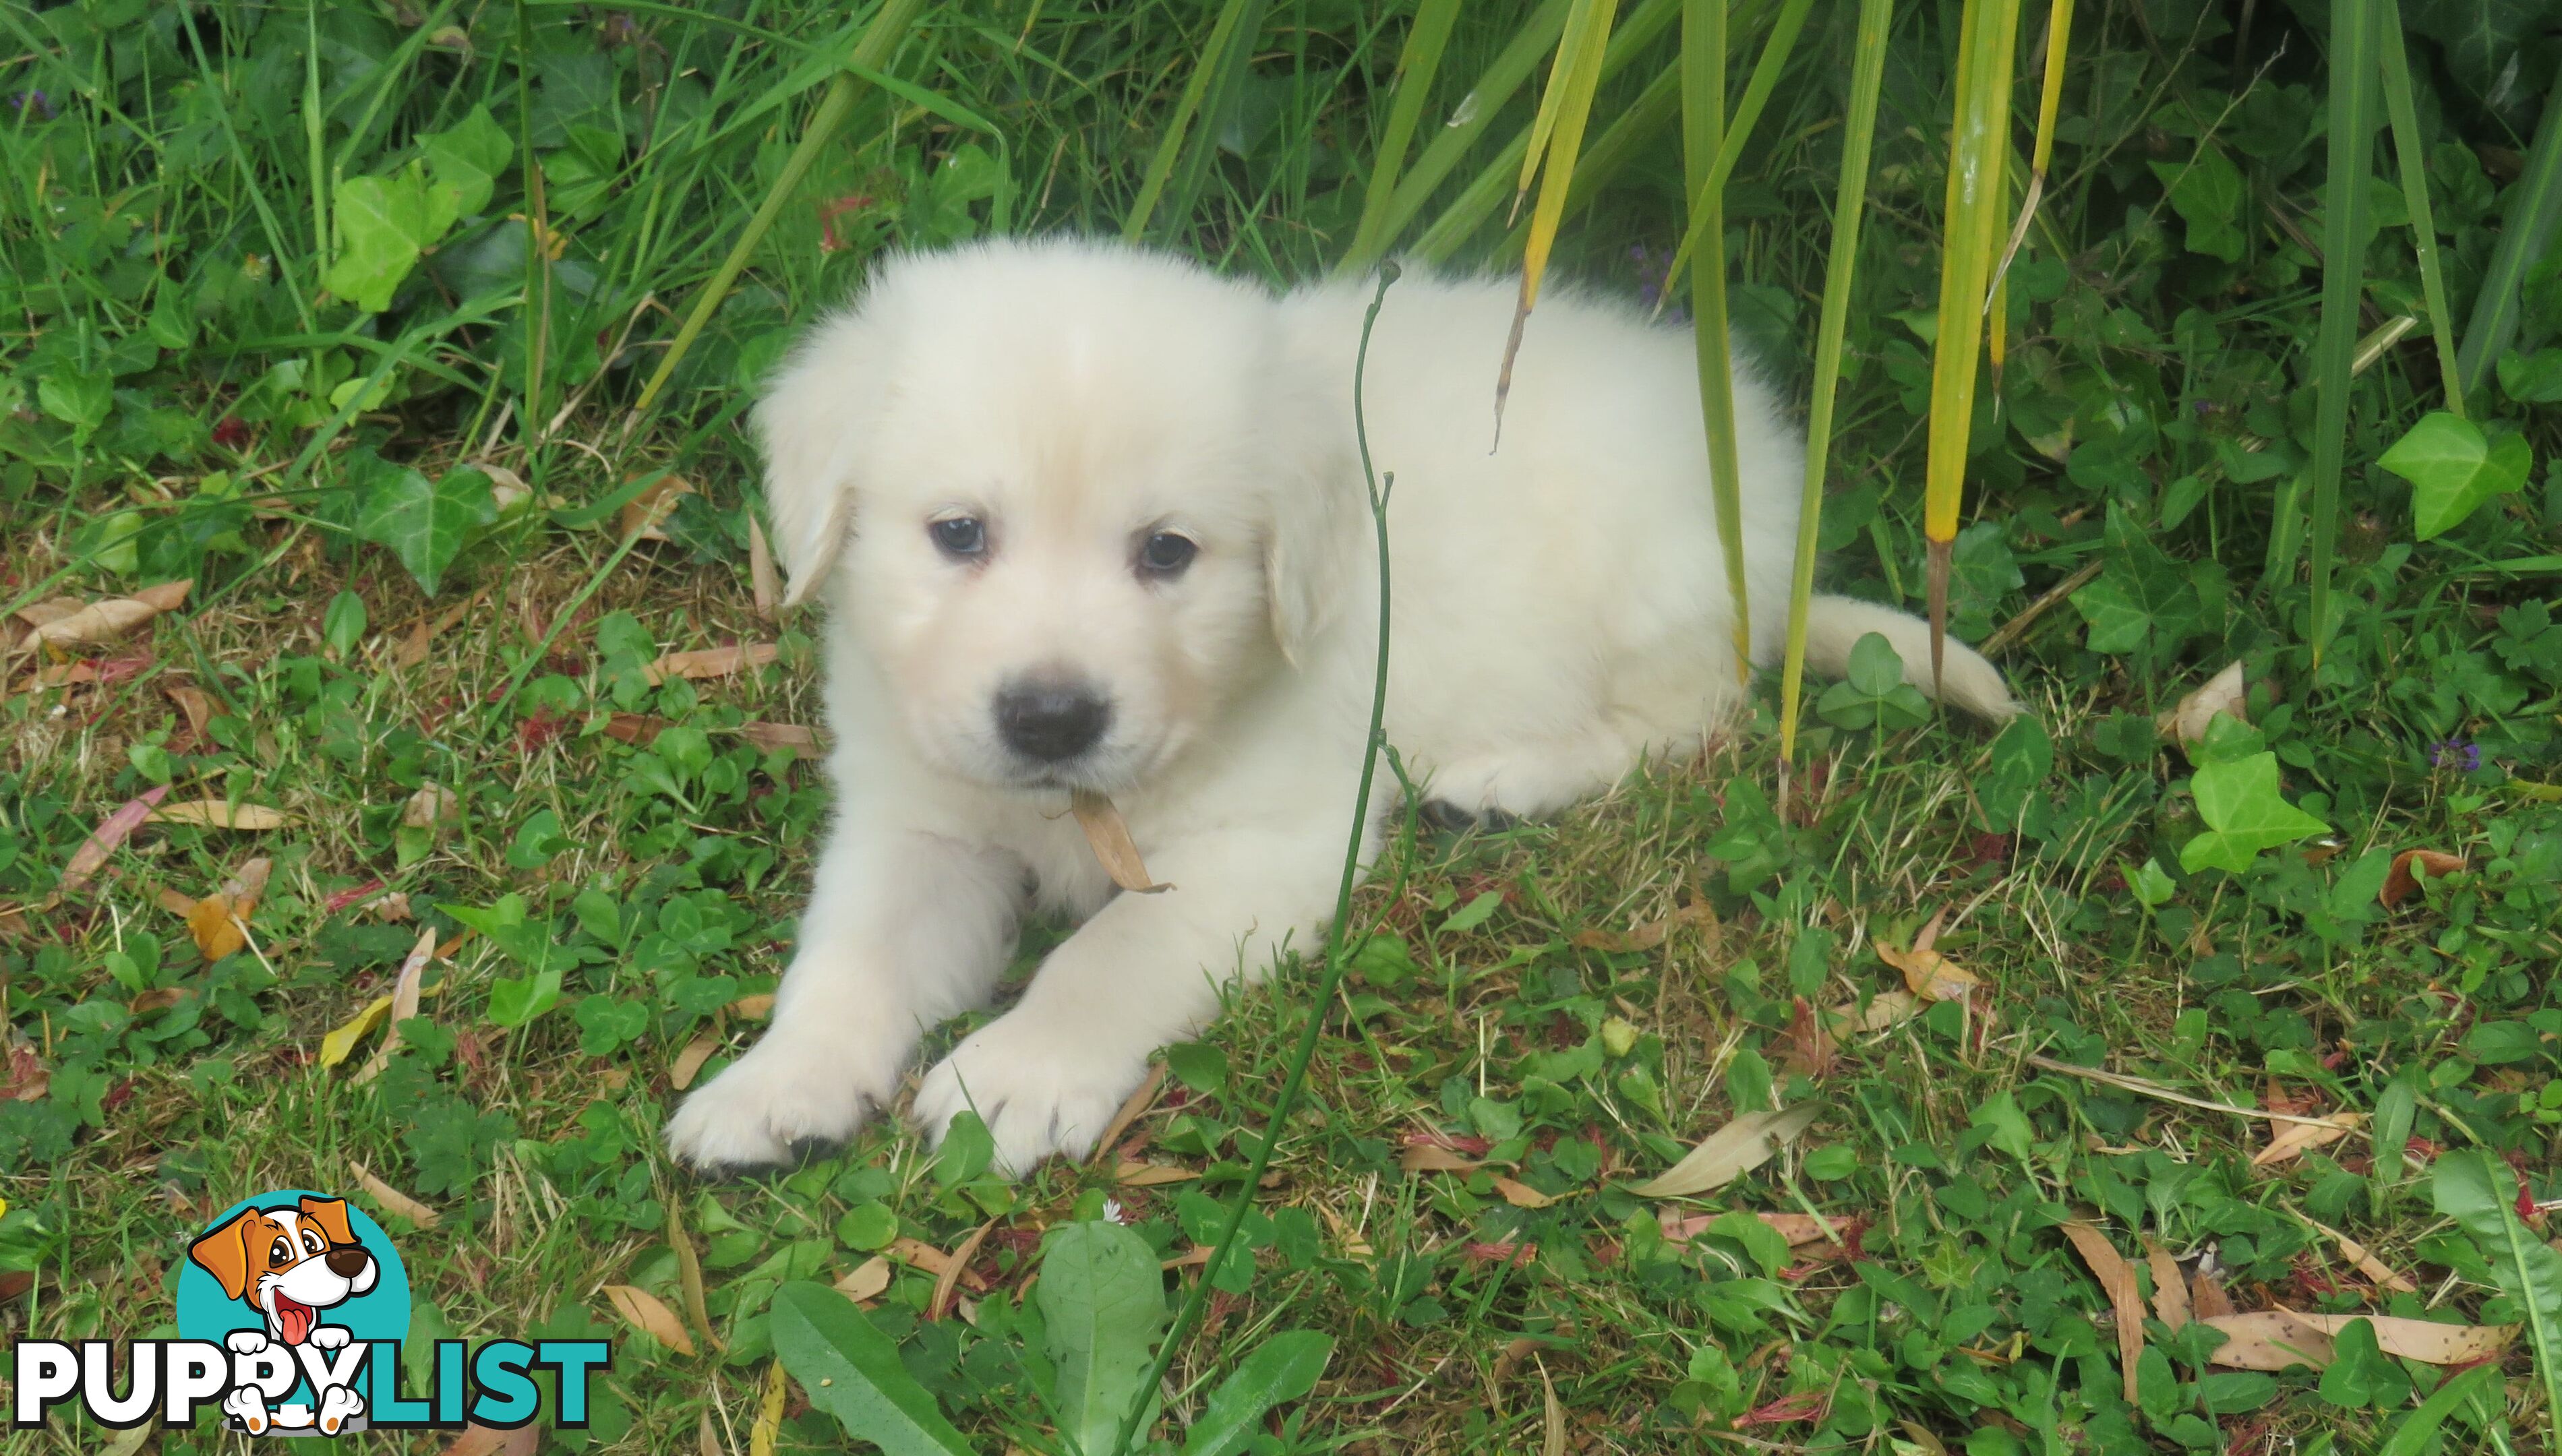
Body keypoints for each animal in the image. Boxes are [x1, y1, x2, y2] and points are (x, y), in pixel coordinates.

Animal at [666, 235, 2019, 1174]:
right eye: (957, 534)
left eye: (1169, 553)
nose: (1051, 721)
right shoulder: (919, 818)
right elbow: (851, 952)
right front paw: (774, 1085)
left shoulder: (1274, 843)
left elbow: (1112, 954)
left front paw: (1014, 1076)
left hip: (1658, 589)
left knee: (1695, 717)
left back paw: (1501, 780)